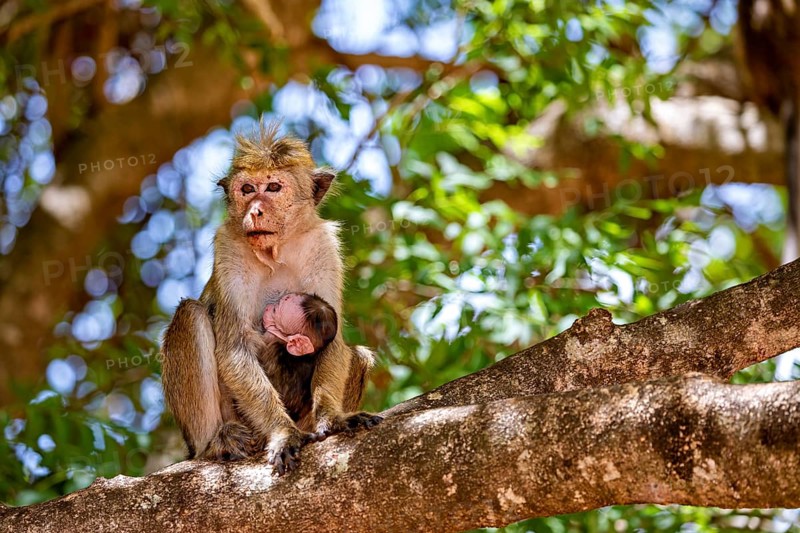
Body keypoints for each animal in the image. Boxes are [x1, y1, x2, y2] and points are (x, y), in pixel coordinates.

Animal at [161, 122, 382, 475]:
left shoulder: (323, 245)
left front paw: (333, 418)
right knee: (190, 314)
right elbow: (235, 347)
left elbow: (334, 343)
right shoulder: (229, 245)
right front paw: (282, 432)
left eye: (274, 187)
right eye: (248, 189)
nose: (255, 210)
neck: (276, 251)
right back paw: (214, 443)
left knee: (358, 355)